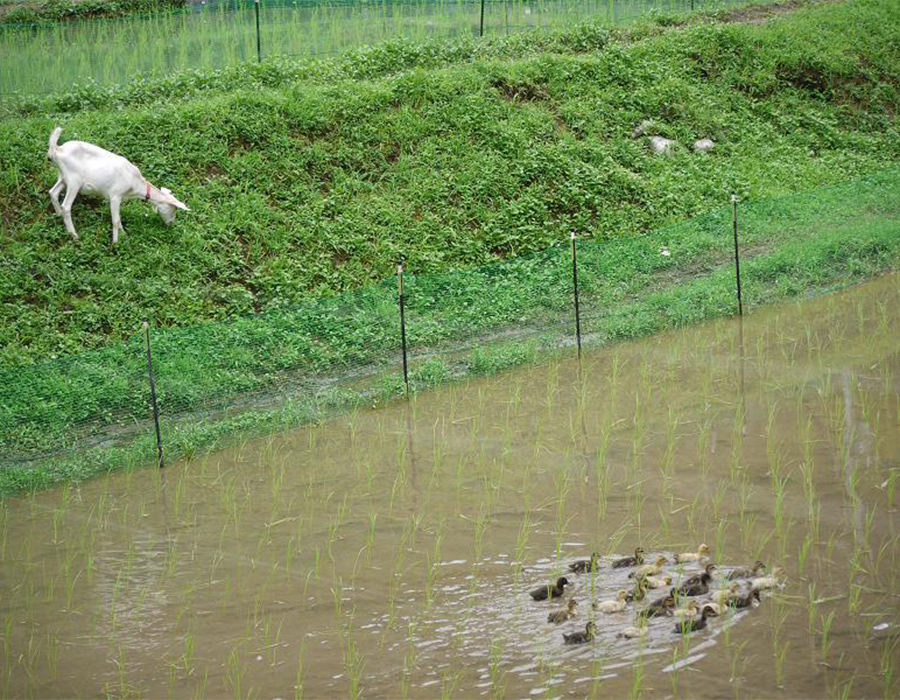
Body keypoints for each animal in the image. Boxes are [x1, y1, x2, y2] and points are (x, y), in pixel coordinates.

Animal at [47, 126, 188, 243]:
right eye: (173, 209)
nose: (170, 224)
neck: (135, 182)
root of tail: (57, 150)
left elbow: (119, 218)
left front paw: (124, 235)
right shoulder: (115, 196)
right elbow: (115, 220)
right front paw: (115, 243)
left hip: (63, 177)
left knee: (53, 192)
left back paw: (58, 215)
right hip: (74, 181)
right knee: (66, 206)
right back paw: (74, 235)